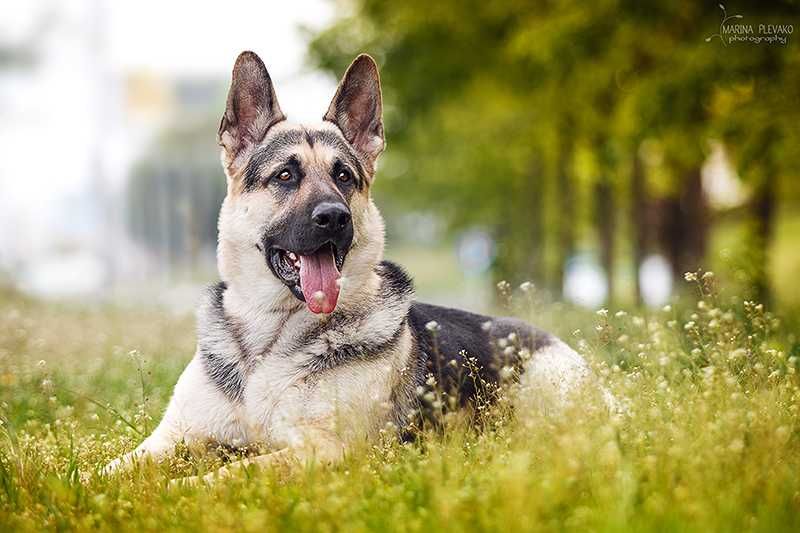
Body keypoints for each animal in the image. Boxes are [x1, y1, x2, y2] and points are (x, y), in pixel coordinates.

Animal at [106, 51, 608, 482]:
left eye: (344, 176)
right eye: (285, 175)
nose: (334, 217)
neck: (268, 340)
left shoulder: (320, 451)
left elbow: (225, 473)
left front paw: (179, 489)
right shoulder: (169, 440)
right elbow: (112, 469)